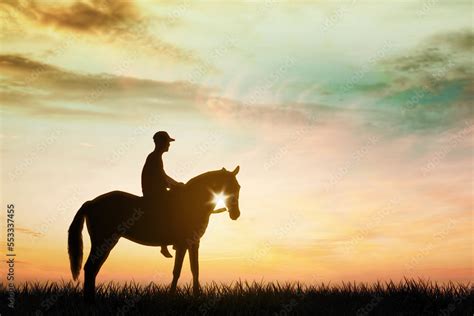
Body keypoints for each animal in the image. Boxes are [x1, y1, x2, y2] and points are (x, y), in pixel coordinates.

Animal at [67, 165, 241, 302]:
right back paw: (90, 301)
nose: (236, 214)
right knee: (91, 268)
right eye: (228, 187)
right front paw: (171, 297)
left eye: (238, 187)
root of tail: (91, 202)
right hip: (104, 241)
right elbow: (177, 271)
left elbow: (195, 269)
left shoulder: (194, 243)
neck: (192, 202)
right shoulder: (183, 244)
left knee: (93, 268)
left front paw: (196, 296)